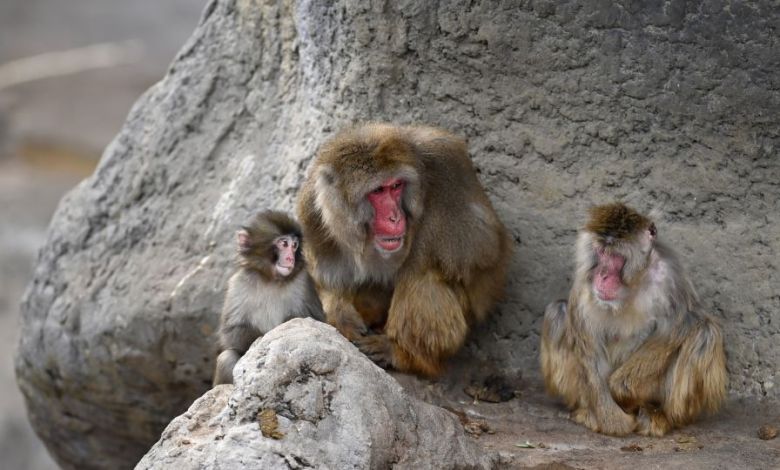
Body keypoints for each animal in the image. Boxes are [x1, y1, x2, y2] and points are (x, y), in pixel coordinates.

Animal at [213, 210, 324, 386]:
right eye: (284, 243)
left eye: (294, 245)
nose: (290, 258)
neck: (271, 279)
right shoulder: (237, 284)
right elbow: (231, 331)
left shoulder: (304, 281)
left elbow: (319, 323)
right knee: (226, 357)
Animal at [296, 123, 513, 377]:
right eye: (378, 191)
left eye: (396, 186)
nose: (395, 217)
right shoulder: (312, 208)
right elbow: (325, 276)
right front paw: (340, 315)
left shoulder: (448, 164)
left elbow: (482, 246)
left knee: (420, 276)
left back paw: (403, 354)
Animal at [540, 202, 727, 437]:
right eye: (601, 252)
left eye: (615, 255)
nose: (602, 275)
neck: (633, 281)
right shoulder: (585, 282)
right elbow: (588, 346)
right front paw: (613, 421)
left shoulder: (670, 274)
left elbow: (678, 326)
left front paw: (621, 390)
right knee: (558, 312)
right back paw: (587, 412)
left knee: (705, 332)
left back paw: (660, 416)